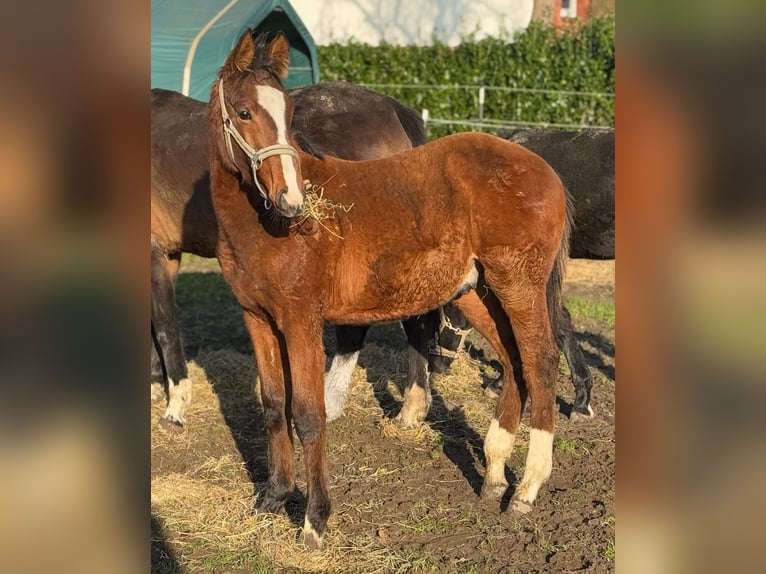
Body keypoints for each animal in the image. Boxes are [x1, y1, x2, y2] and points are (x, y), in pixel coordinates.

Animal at [208, 31, 573, 549]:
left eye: (290, 113)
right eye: (243, 112)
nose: (292, 201)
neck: (263, 226)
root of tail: (544, 169)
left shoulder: (300, 319)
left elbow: (309, 413)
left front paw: (314, 521)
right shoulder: (257, 318)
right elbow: (274, 405)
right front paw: (272, 499)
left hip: (518, 285)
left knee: (540, 362)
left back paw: (526, 490)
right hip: (476, 293)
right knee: (511, 360)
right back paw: (493, 474)